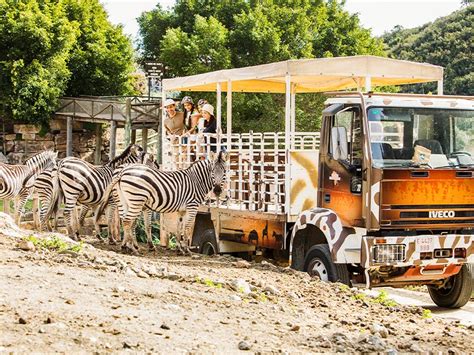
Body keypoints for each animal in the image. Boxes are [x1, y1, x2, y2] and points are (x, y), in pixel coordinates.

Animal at [96, 152, 228, 254]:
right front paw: (187, 250)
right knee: (128, 221)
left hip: (124, 201)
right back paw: (131, 248)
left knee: (125, 221)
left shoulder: (181, 210)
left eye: (225, 171)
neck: (196, 181)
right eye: (212, 171)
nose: (217, 190)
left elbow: (179, 228)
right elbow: (186, 227)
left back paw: (126, 246)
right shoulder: (192, 206)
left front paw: (180, 249)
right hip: (136, 200)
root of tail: (122, 171)